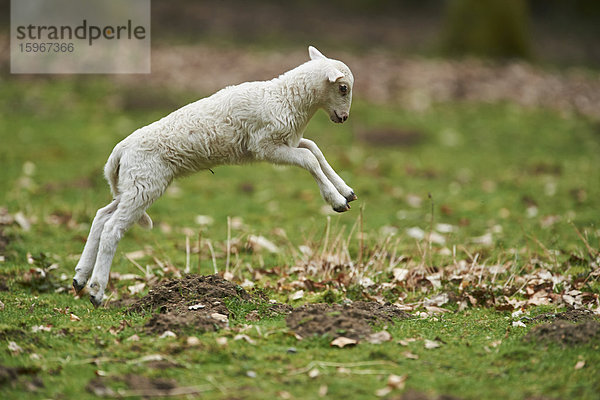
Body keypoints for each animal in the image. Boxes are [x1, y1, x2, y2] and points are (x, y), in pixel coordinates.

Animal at [74, 45, 356, 304]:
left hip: (134, 185)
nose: (344, 118)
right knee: (112, 228)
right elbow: (309, 158)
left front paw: (347, 191)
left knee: (101, 216)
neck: (286, 98)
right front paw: (336, 201)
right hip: (145, 183)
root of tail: (119, 151)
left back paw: (80, 278)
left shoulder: (286, 142)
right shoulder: (265, 146)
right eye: (343, 88)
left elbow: (314, 149)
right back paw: (96, 291)